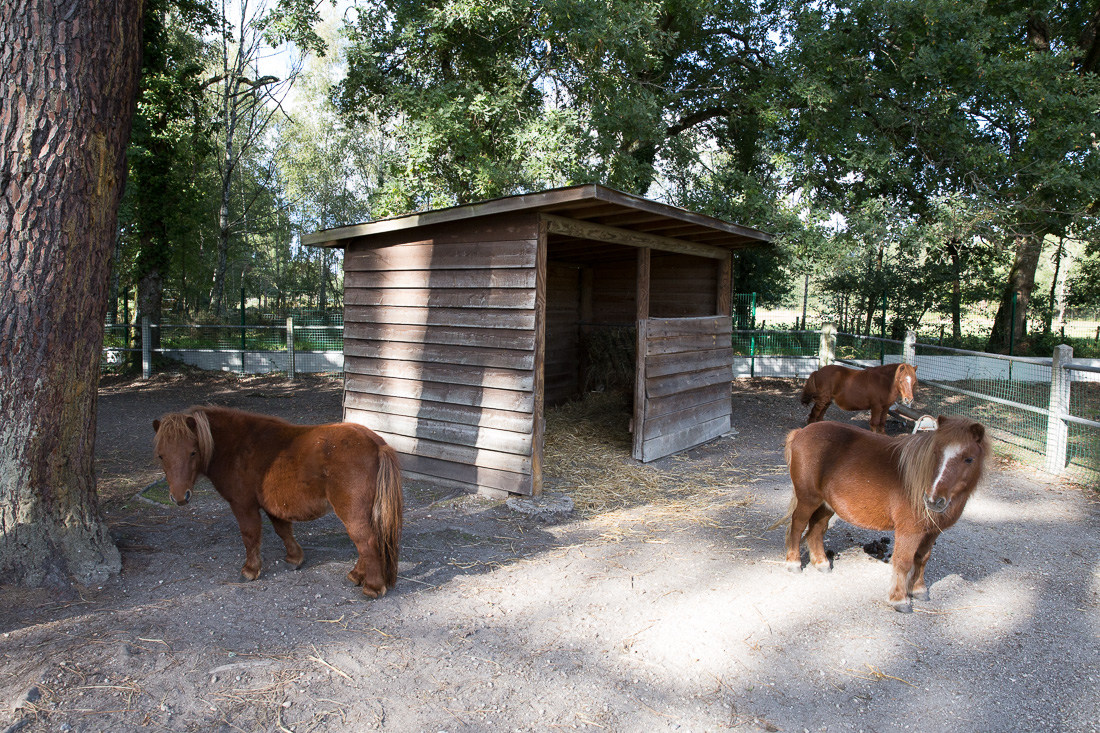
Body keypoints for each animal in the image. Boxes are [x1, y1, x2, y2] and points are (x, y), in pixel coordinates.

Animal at [149, 402, 400, 598]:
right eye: (161, 455)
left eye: (192, 452)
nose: (180, 497)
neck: (237, 446)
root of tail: (377, 444)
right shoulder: (273, 505)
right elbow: (283, 530)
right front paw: (294, 559)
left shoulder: (243, 504)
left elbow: (250, 535)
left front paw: (250, 570)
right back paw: (356, 575)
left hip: (352, 512)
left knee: (366, 542)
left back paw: (372, 587)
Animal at [770, 416, 994, 611]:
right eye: (936, 453)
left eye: (969, 459)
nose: (933, 500)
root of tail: (802, 432)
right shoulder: (909, 531)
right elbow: (904, 562)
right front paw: (900, 599)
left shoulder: (932, 532)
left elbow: (922, 558)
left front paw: (919, 590)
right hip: (809, 499)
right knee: (798, 526)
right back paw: (794, 563)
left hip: (826, 505)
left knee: (816, 530)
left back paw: (822, 563)